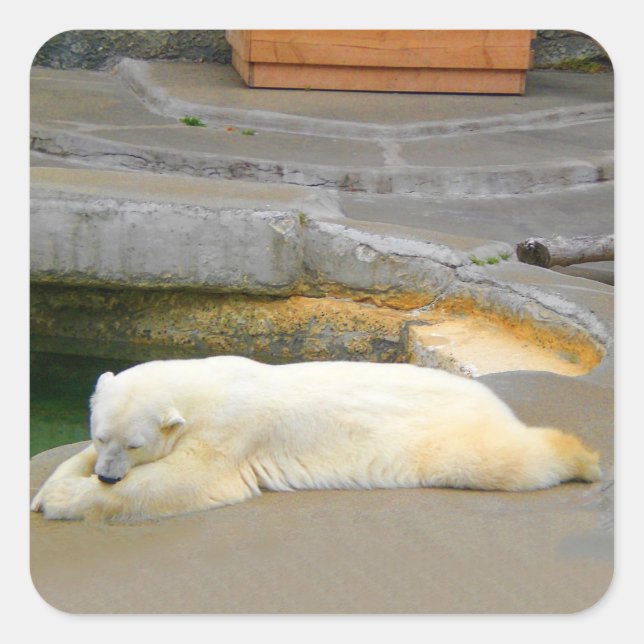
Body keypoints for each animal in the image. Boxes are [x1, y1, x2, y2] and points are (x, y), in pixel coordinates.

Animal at [31, 356, 601, 522]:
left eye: (134, 445)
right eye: (100, 435)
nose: (107, 474)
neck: (203, 385)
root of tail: (489, 398)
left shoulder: (231, 429)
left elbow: (180, 481)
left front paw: (63, 499)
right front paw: (48, 487)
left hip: (442, 436)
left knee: (496, 459)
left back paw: (585, 459)